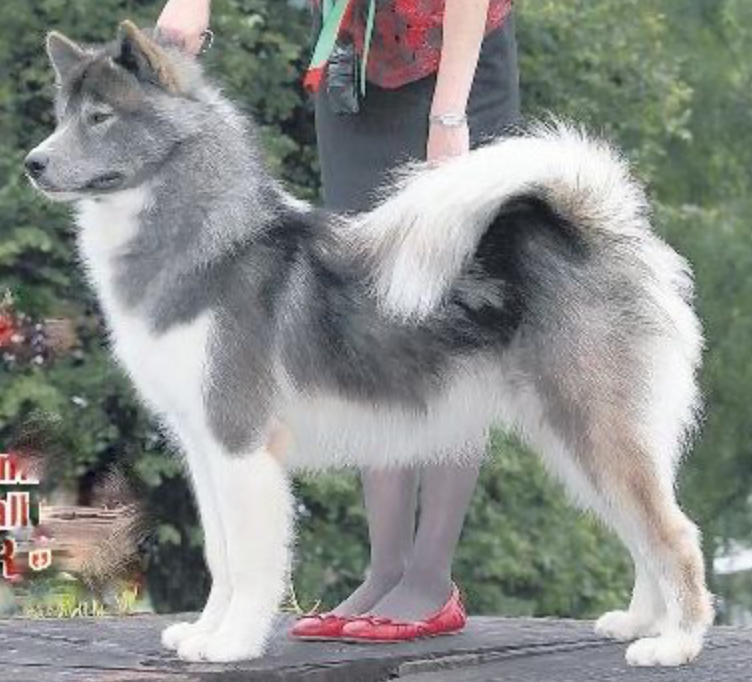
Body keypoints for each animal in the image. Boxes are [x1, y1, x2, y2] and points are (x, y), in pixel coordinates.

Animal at [27, 22, 712, 664]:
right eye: (62, 116)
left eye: (99, 117)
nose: (32, 163)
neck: (210, 242)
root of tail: (596, 229)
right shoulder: (205, 447)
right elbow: (221, 558)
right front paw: (204, 632)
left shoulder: (241, 445)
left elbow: (247, 563)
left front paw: (233, 643)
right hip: (578, 440)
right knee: (642, 532)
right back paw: (641, 623)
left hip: (594, 429)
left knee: (674, 536)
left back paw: (674, 644)